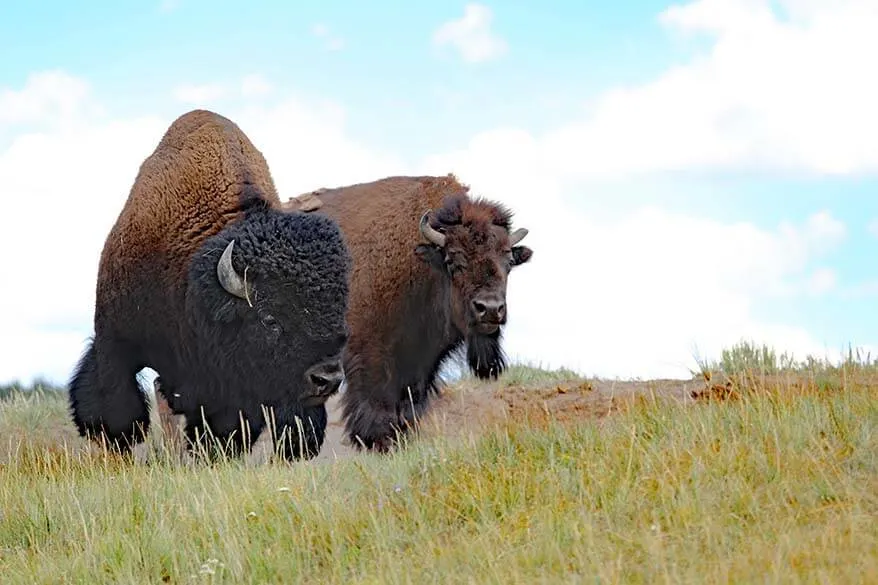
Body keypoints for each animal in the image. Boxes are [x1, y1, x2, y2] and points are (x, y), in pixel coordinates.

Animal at [68, 110, 354, 460]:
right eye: (269, 319)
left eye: (338, 311)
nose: (327, 378)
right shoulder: (116, 337)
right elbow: (116, 399)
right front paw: (117, 443)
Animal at [290, 176, 536, 450]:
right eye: (452, 260)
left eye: (509, 263)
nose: (490, 309)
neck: (420, 265)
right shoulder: (369, 351)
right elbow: (376, 404)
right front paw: (378, 441)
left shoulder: (422, 362)